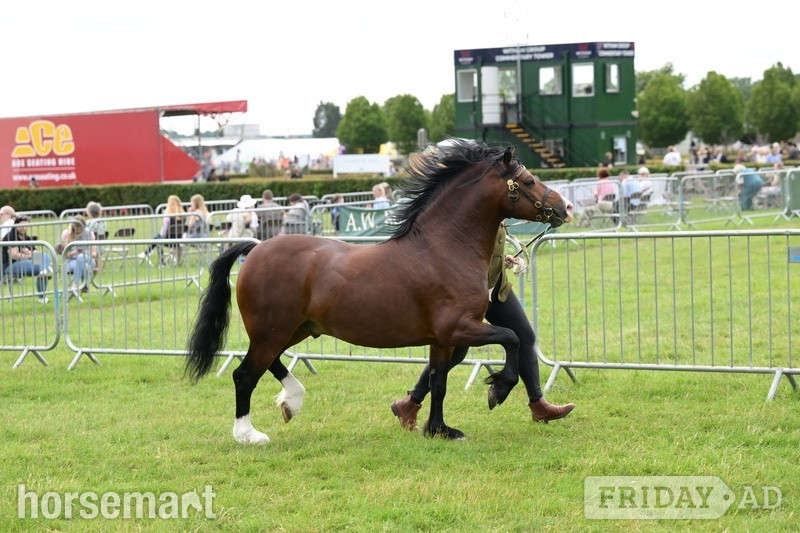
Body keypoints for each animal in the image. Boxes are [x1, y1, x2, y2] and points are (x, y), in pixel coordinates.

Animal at [185, 139, 573, 443]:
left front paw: (438, 429)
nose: (565, 207)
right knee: (245, 374)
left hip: (293, 329)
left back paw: (291, 401)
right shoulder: (458, 328)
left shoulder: (443, 339)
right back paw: (248, 434)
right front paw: (497, 389)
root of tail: (254, 248)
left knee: (269, 363)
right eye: (527, 180)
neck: (444, 247)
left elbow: (439, 381)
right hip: (272, 330)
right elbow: (512, 338)